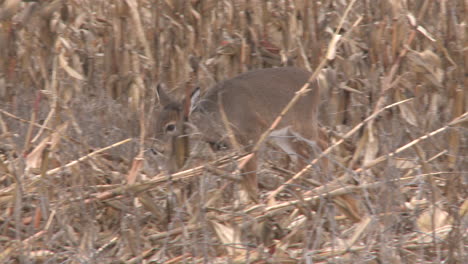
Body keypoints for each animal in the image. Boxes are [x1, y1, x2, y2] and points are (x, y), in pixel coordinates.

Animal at [155, 66, 324, 202]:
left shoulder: (252, 135)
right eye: (155, 121)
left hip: (303, 122)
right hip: (282, 133)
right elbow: (244, 177)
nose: (155, 148)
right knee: (301, 153)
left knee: (323, 141)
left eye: (170, 126)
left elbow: (251, 174)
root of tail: (316, 80)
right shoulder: (237, 145)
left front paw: (254, 204)